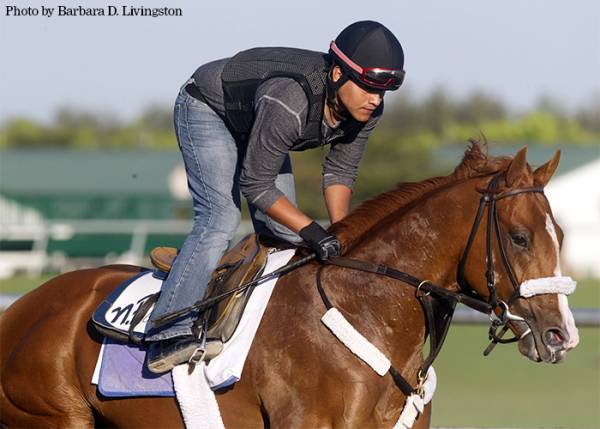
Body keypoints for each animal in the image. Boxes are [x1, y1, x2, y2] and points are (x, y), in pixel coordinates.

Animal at [1, 143, 580, 428]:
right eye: (520, 237)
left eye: (561, 234)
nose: (561, 334)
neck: (366, 309)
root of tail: (19, 310)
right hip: (52, 418)